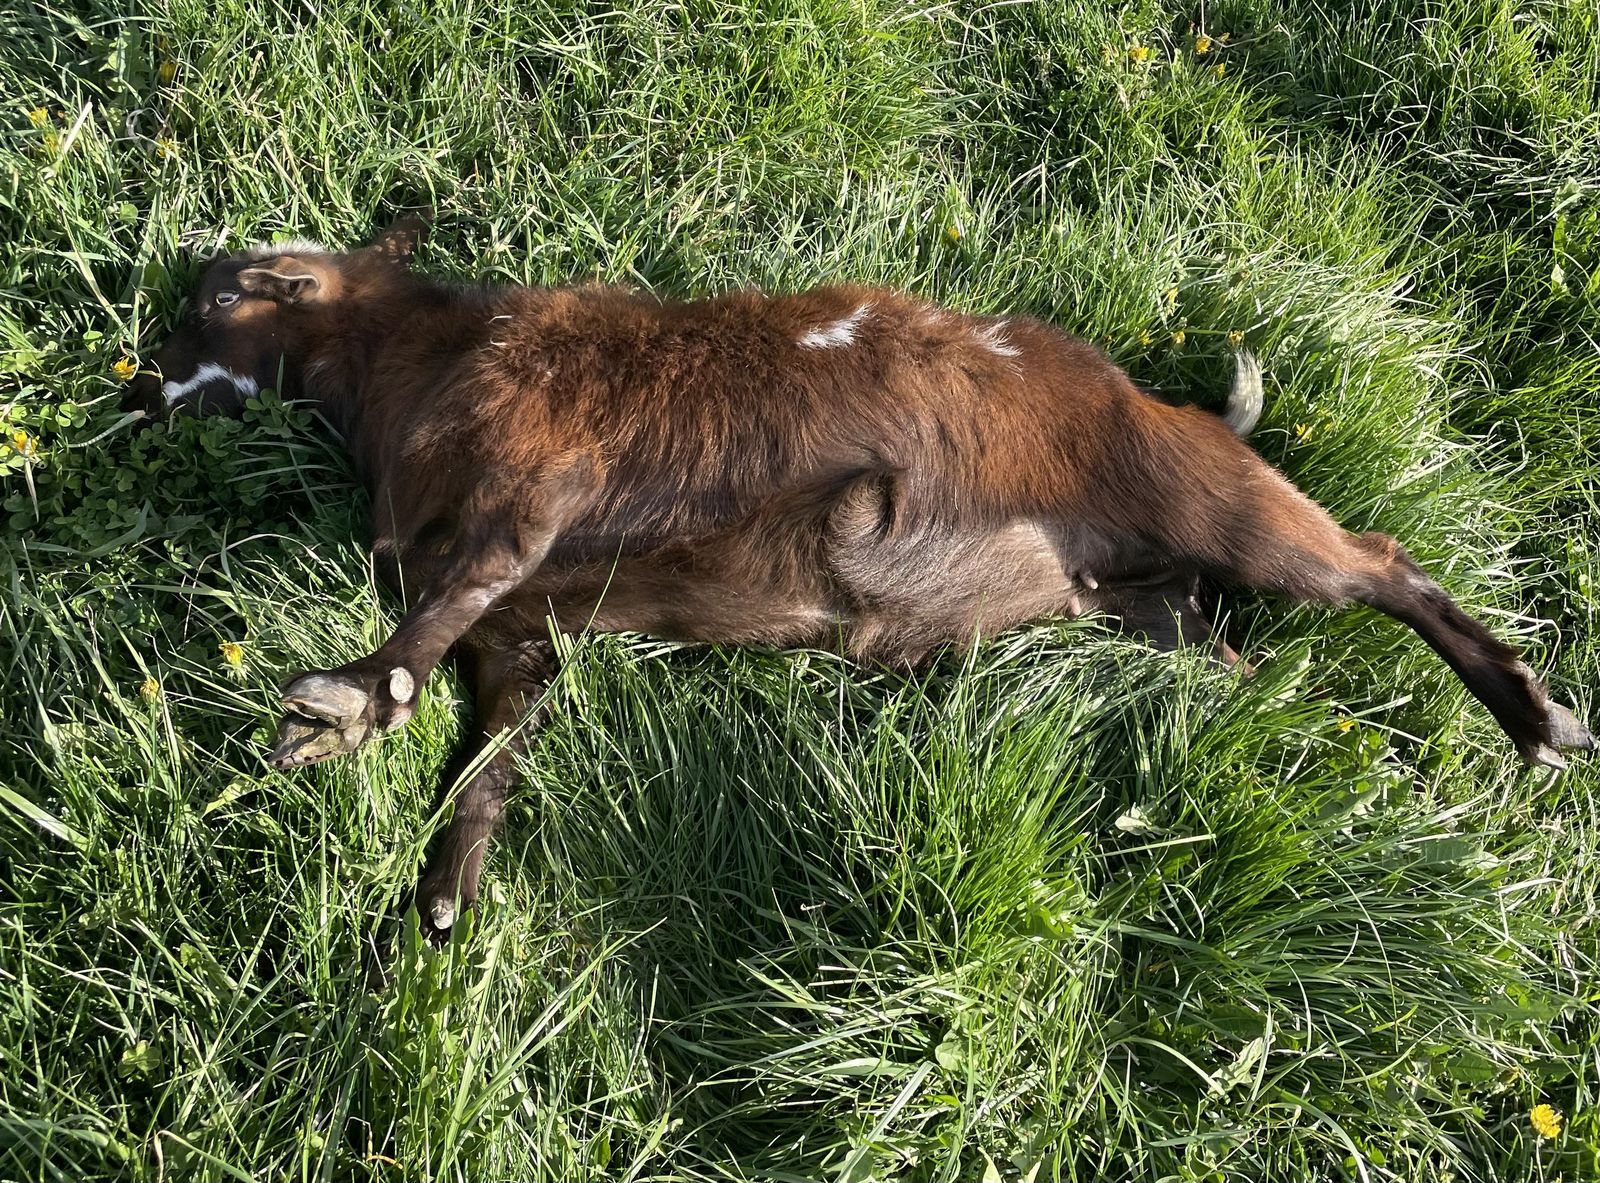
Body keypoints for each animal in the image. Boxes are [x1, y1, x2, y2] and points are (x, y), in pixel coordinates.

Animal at [125, 215, 1594, 940]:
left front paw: (339, 707)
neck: (419, 358)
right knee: (1229, 651)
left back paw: (1534, 716)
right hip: (1143, 604)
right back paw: (1316, 731)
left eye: (213, 302)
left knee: (1383, 566)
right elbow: (489, 751)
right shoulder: (525, 636)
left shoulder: (527, 493)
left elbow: (432, 620)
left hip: (1225, 505)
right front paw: (443, 897)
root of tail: (1146, 394)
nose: (133, 392)